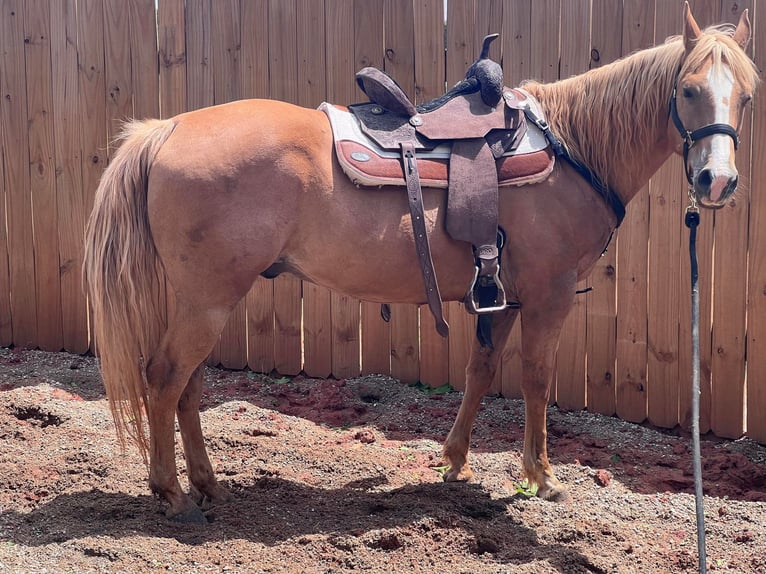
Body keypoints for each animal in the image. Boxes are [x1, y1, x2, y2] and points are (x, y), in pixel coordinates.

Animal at [82, 4, 756, 524]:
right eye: (689, 90)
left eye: (747, 96)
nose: (717, 181)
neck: (572, 148)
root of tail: (166, 129)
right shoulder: (549, 294)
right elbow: (537, 380)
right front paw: (542, 475)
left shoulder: (501, 294)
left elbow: (481, 372)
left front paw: (454, 461)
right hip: (207, 301)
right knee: (164, 379)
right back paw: (173, 495)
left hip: (204, 300)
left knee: (187, 387)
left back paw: (206, 484)